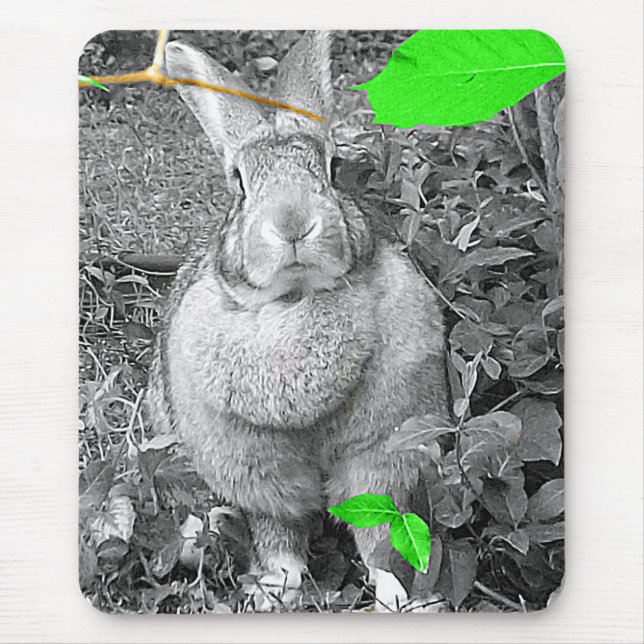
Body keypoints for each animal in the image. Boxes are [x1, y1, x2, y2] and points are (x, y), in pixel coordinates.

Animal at [148, 30, 449, 611]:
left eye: (332, 169)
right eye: (240, 183)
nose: (292, 224)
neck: (297, 298)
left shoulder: (380, 456)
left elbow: (380, 537)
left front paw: (400, 598)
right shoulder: (259, 478)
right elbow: (280, 536)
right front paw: (276, 591)